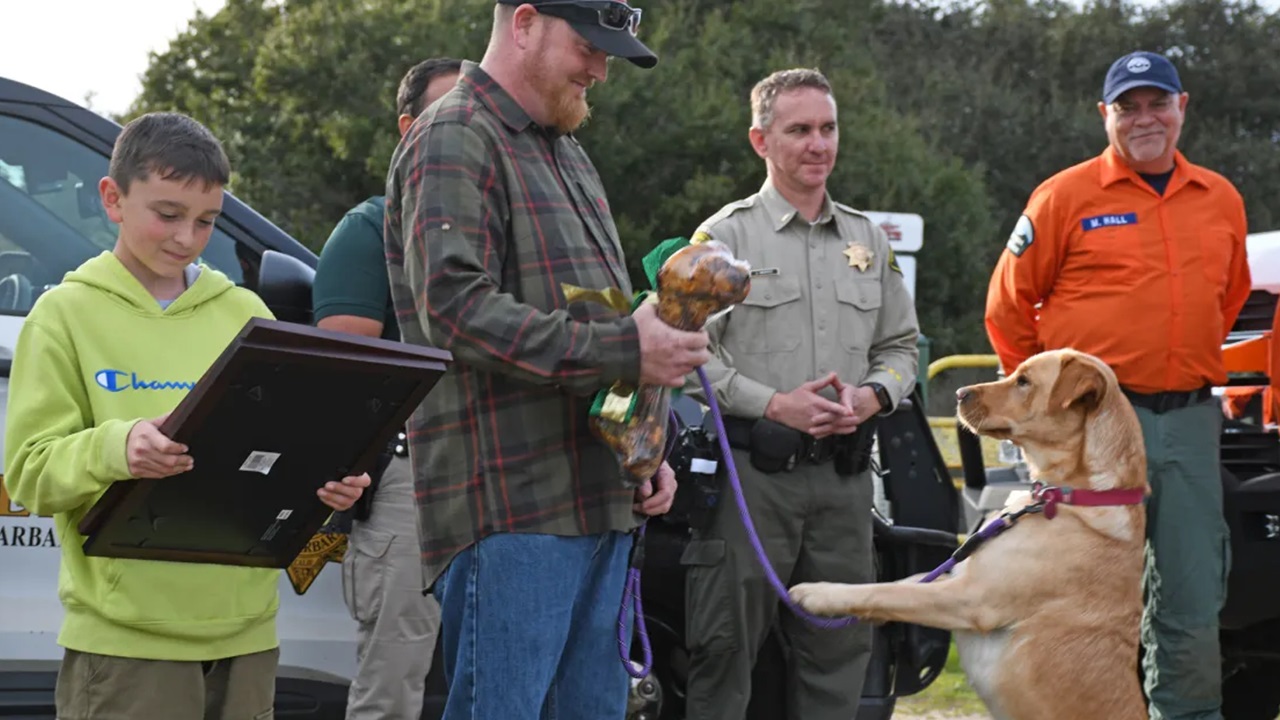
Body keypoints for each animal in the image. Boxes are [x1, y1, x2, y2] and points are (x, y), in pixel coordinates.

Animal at [788, 345, 1152, 712]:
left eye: (1023, 381)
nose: (960, 394)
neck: (1070, 495)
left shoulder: (970, 599)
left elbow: (886, 592)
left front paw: (818, 593)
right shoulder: (957, 578)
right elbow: (904, 582)